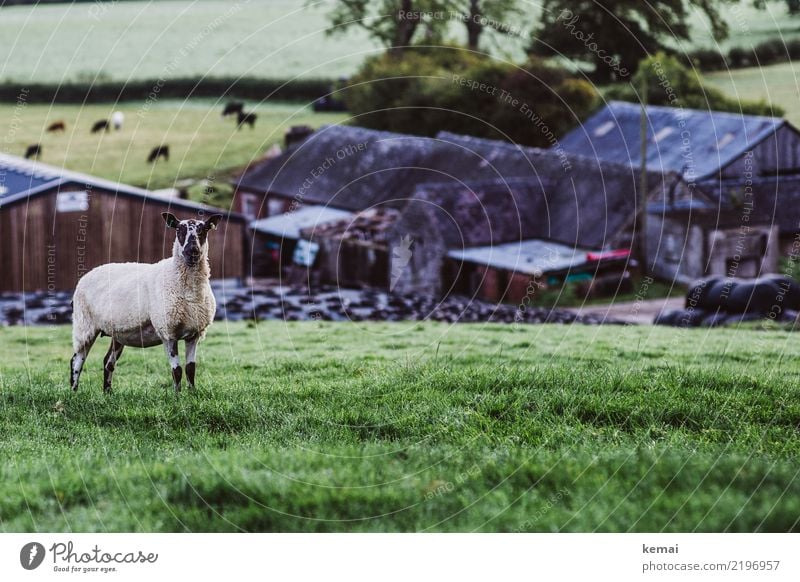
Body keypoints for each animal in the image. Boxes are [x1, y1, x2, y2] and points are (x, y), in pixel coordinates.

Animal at [70, 212, 223, 394]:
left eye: (204, 230)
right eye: (179, 229)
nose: (192, 251)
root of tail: (87, 274)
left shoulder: (194, 333)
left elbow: (190, 369)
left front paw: (192, 393)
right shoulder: (168, 331)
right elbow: (177, 370)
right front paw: (178, 396)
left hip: (117, 332)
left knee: (108, 362)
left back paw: (107, 393)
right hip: (84, 325)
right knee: (77, 360)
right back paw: (73, 392)